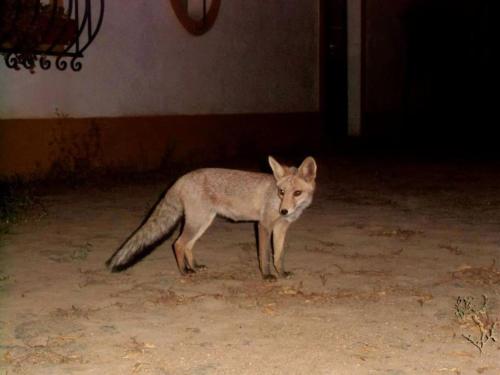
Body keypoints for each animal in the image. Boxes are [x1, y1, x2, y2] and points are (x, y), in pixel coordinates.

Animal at [105, 154, 316, 280]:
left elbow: (278, 255)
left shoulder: (281, 228)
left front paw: (282, 273)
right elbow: (264, 255)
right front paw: (266, 276)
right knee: (178, 244)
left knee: (187, 246)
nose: (284, 211)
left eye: (297, 193)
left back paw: (194, 267)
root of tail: (181, 178)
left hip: (203, 222)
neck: (274, 198)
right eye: (282, 192)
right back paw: (184, 272)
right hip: (197, 223)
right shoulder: (263, 226)